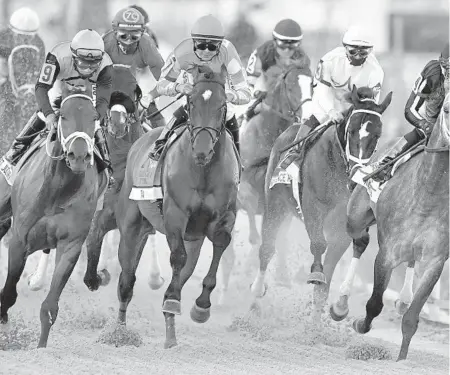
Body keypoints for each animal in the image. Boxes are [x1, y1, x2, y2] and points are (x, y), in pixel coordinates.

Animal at [0, 94, 106, 350]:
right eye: (63, 116)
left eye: (94, 117)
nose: (78, 156)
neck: (59, 189)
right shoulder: (19, 239)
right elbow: (8, 294)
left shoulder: (70, 245)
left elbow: (50, 307)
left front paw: (41, 347)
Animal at [115, 64, 239, 350]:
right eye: (190, 102)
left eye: (222, 106)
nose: (202, 151)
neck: (203, 172)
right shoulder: (175, 215)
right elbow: (177, 258)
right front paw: (174, 301)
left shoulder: (225, 215)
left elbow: (220, 243)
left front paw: (201, 307)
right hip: (131, 224)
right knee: (127, 280)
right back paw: (119, 332)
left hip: (189, 237)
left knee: (184, 269)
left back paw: (170, 330)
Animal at [251, 87, 392, 308]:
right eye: (351, 131)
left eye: (377, 135)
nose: (356, 175)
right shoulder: (312, 207)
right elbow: (318, 244)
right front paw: (316, 273)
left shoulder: (343, 225)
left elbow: (327, 278)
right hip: (275, 204)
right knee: (267, 247)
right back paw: (257, 289)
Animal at [342, 92, 448, 362]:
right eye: (448, 110)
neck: (429, 191)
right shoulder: (387, 253)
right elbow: (374, 304)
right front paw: (358, 324)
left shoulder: (435, 260)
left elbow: (411, 319)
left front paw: (401, 360)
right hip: (355, 217)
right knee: (359, 242)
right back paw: (340, 302)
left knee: (409, 261)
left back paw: (402, 299)